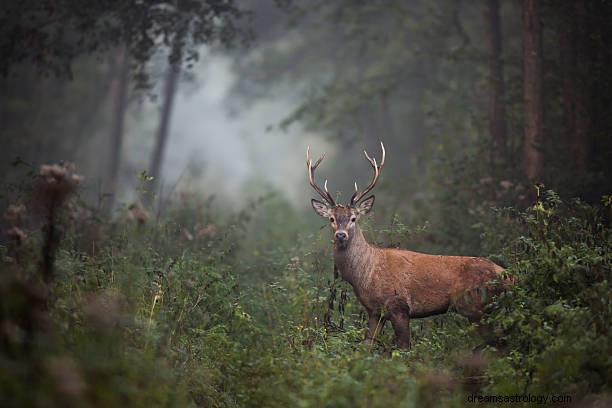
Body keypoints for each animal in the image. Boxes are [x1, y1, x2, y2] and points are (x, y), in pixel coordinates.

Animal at [306, 141, 512, 348]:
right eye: (332, 218)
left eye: (354, 218)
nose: (341, 234)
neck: (366, 275)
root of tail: (507, 275)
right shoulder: (375, 311)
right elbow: (367, 346)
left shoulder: (399, 306)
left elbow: (403, 348)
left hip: (475, 305)